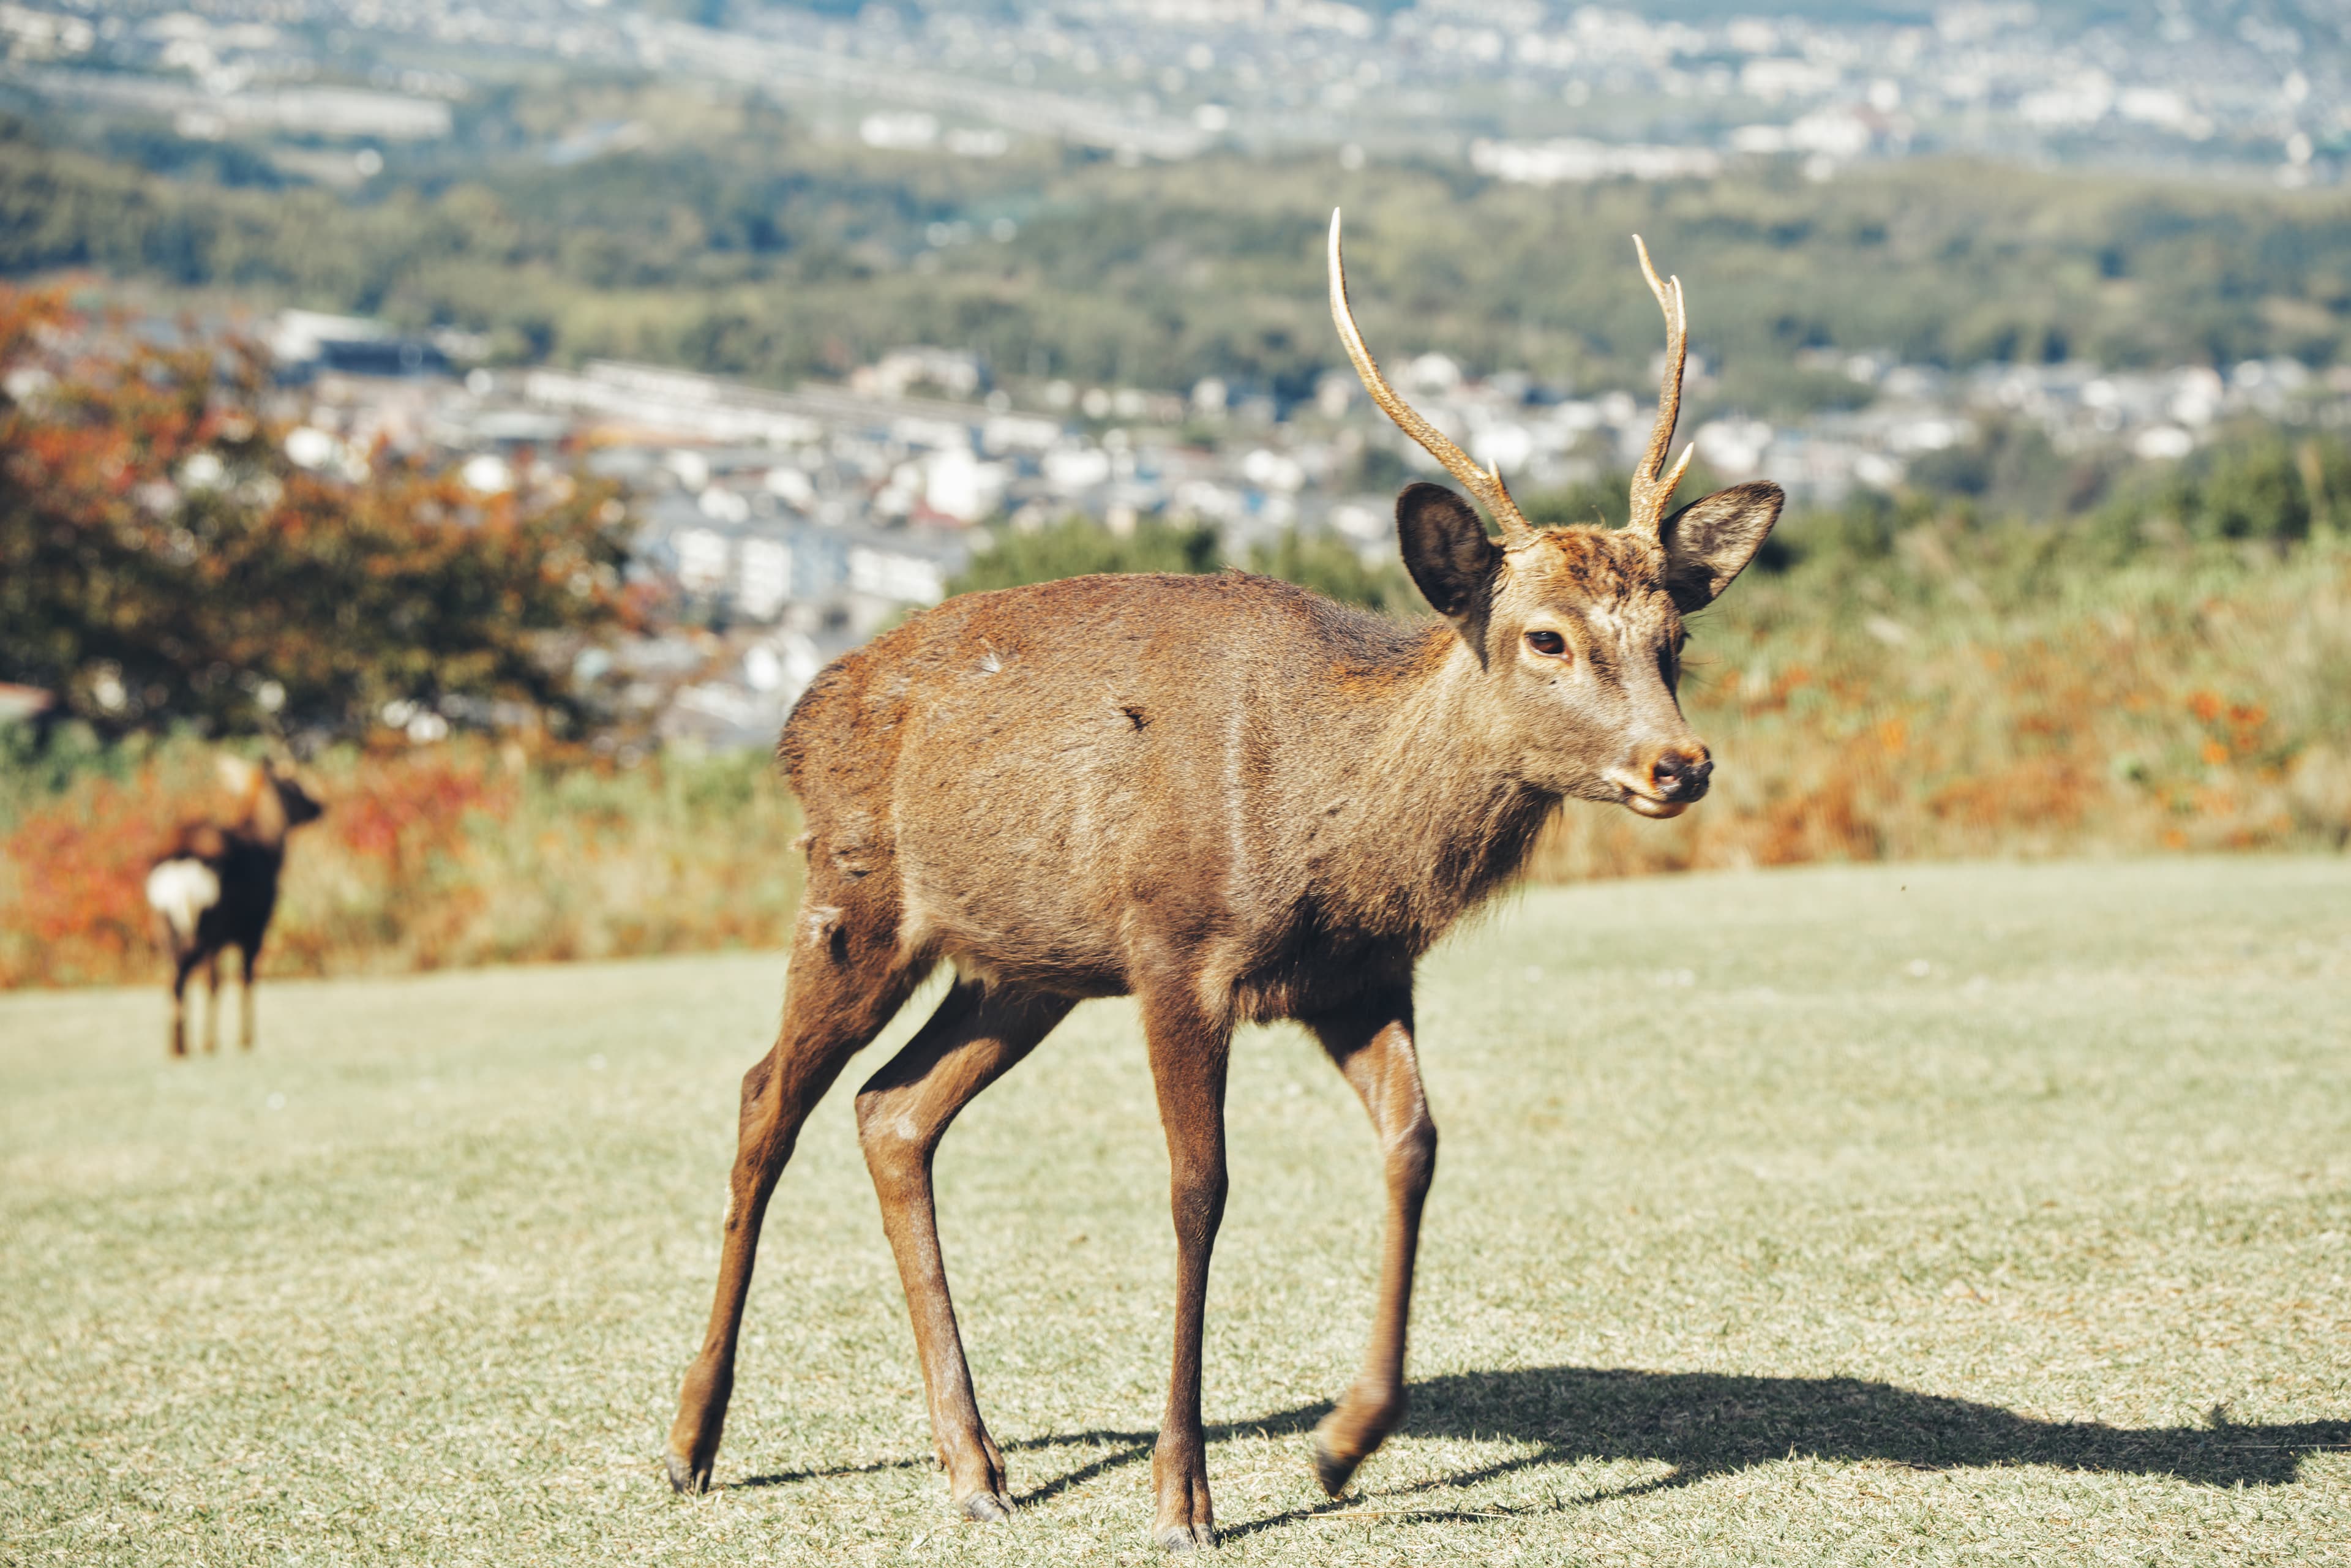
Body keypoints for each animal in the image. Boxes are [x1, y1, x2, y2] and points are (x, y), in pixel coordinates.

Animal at [145, 753, 323, 1057]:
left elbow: (220, 981)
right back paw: (188, 1046)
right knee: (190, 975)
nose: (320, 806)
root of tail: (179, 863)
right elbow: (243, 980)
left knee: (173, 975)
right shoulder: (255, 927)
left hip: (165, 927)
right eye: (293, 784)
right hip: (208, 925)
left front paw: (217, 1042)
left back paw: (177, 1045)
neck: (270, 849)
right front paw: (244, 1041)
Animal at [664, 210, 1783, 1550]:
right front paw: (1183, 1493)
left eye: (1676, 637)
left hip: (1023, 966)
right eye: (1545, 636)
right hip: (855, 896)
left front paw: (1344, 1442)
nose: (1681, 762)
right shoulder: (1176, 949)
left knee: (892, 1110)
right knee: (764, 1099)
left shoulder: (1358, 976)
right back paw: (692, 1440)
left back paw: (975, 1462)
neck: (1331, 837)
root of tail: (800, 712)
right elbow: (1200, 1186)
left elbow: (1417, 1143)